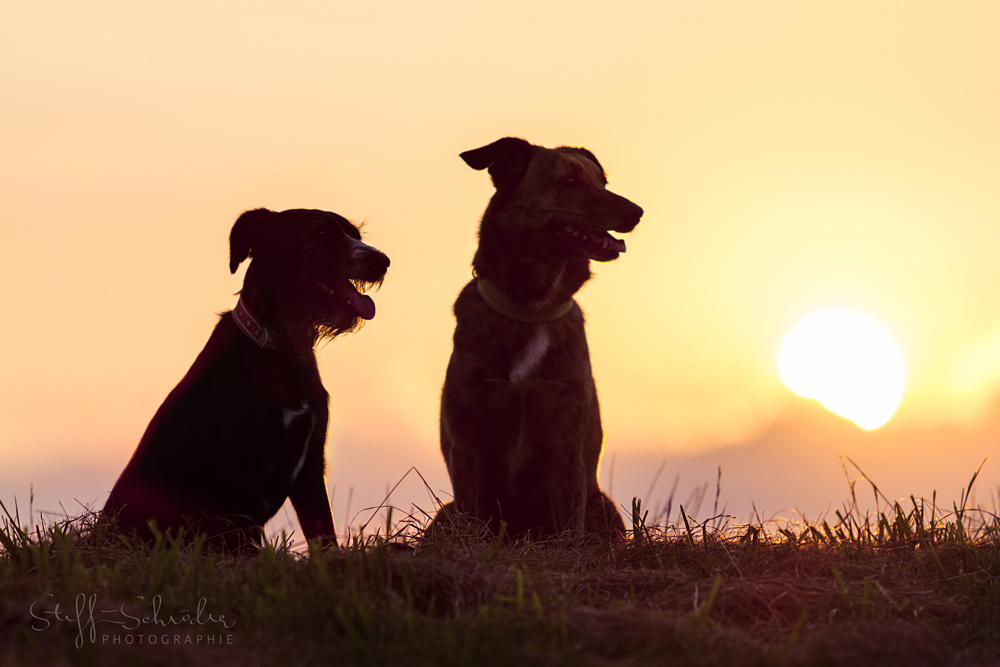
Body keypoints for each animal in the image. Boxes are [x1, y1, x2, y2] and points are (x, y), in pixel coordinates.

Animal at [103, 207, 388, 548]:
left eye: (356, 235)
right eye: (318, 233)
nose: (382, 261)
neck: (281, 350)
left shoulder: (310, 466)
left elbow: (324, 533)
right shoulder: (239, 477)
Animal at [434, 138, 644, 540]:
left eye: (603, 182)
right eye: (569, 180)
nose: (638, 212)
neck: (532, 309)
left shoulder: (566, 434)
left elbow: (569, 521)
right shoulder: (467, 436)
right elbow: (473, 515)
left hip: (604, 507)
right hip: (443, 516)